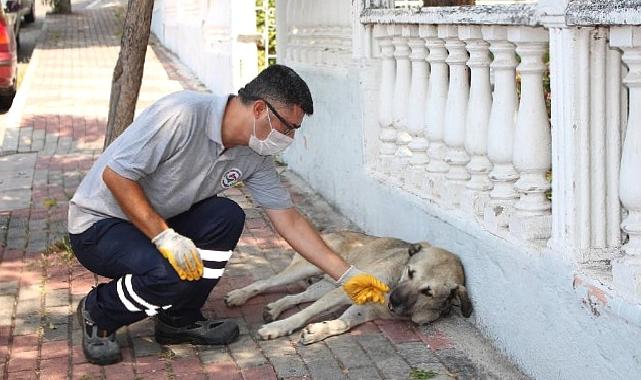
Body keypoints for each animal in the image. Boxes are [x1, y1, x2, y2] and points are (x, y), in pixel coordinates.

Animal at [224, 230, 470, 342]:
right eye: (410, 272)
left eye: (427, 292)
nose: (392, 301)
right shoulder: (346, 293)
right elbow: (306, 313)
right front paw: (279, 328)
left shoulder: (367, 310)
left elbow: (343, 323)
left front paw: (320, 330)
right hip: (307, 270)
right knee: (266, 283)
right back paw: (239, 295)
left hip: (326, 285)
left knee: (298, 297)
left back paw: (274, 308)